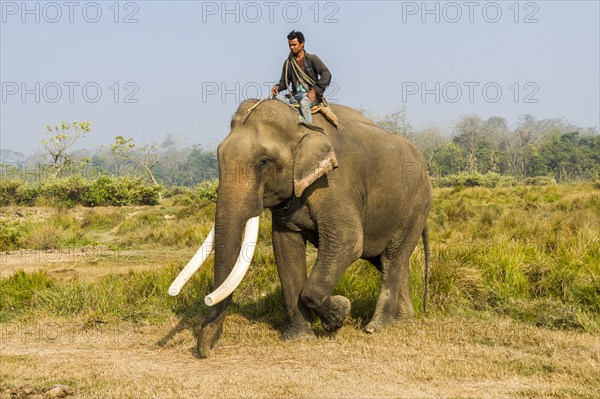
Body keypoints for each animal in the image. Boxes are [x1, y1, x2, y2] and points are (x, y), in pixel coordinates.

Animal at [171, 99, 434, 360]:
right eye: (218, 157)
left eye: (263, 162)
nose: (205, 352)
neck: (300, 124)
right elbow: (285, 248)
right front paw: (299, 337)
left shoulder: (336, 183)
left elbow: (347, 241)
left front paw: (340, 314)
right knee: (388, 261)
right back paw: (402, 322)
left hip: (417, 206)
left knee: (393, 258)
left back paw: (376, 327)